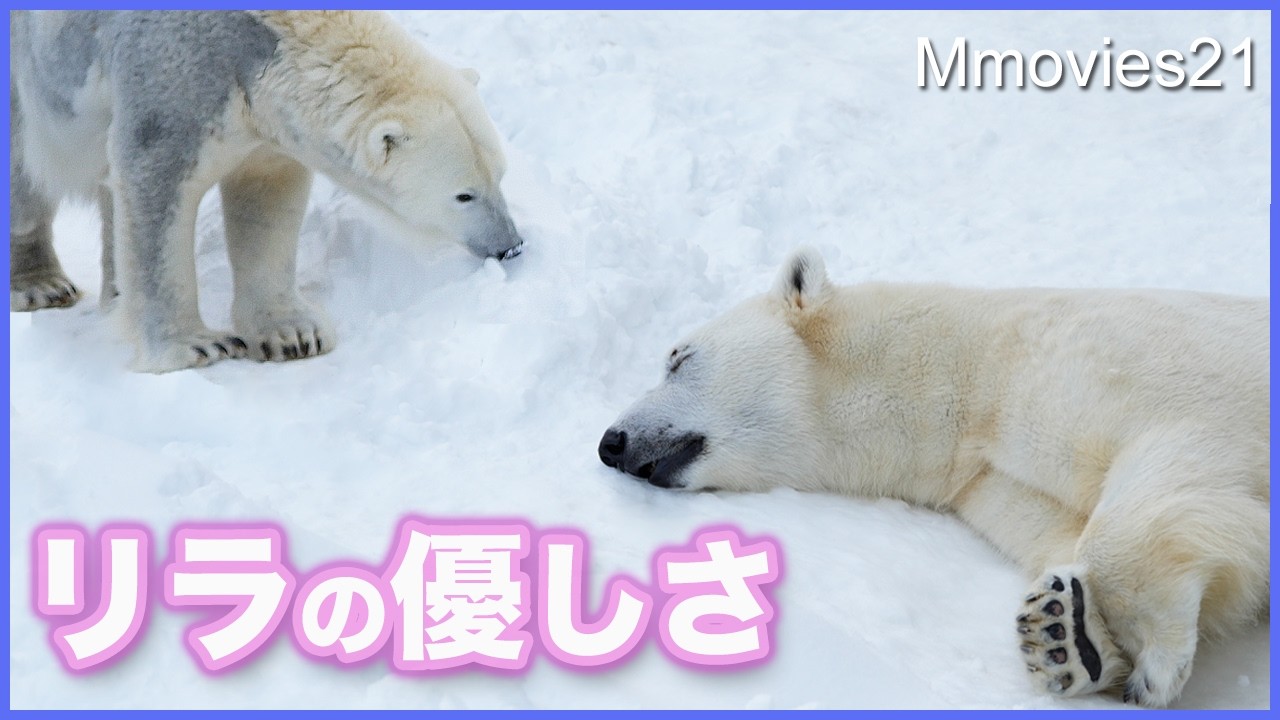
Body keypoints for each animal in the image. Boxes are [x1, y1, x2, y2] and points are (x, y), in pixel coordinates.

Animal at [10, 10, 523, 372]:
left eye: (500, 175)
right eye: (464, 195)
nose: (510, 245)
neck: (267, 35)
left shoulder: (260, 121)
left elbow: (266, 203)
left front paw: (293, 335)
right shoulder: (175, 78)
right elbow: (154, 188)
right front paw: (195, 345)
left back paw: (114, 295)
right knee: (24, 181)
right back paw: (41, 286)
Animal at [599, 246, 1269, 708]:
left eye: (679, 358)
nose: (612, 443)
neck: (973, 373)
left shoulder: (1127, 363)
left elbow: (1181, 458)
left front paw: (1155, 667)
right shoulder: (988, 477)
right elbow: (1062, 528)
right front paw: (1065, 634)